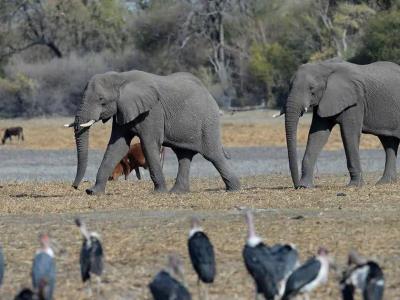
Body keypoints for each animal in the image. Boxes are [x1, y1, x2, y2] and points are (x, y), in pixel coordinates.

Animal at [66, 69, 241, 195]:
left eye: (101, 100)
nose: (75, 187)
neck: (121, 77)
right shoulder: (122, 110)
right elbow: (117, 146)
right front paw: (93, 192)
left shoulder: (152, 111)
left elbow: (148, 144)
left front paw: (158, 192)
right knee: (183, 155)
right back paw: (177, 192)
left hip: (208, 122)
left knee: (213, 155)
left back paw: (234, 189)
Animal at [286, 59, 400, 188]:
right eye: (289, 86)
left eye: (312, 89)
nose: (296, 185)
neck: (324, 66)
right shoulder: (325, 100)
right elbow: (317, 134)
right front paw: (305, 186)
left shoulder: (355, 101)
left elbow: (349, 133)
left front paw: (354, 185)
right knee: (388, 142)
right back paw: (384, 182)